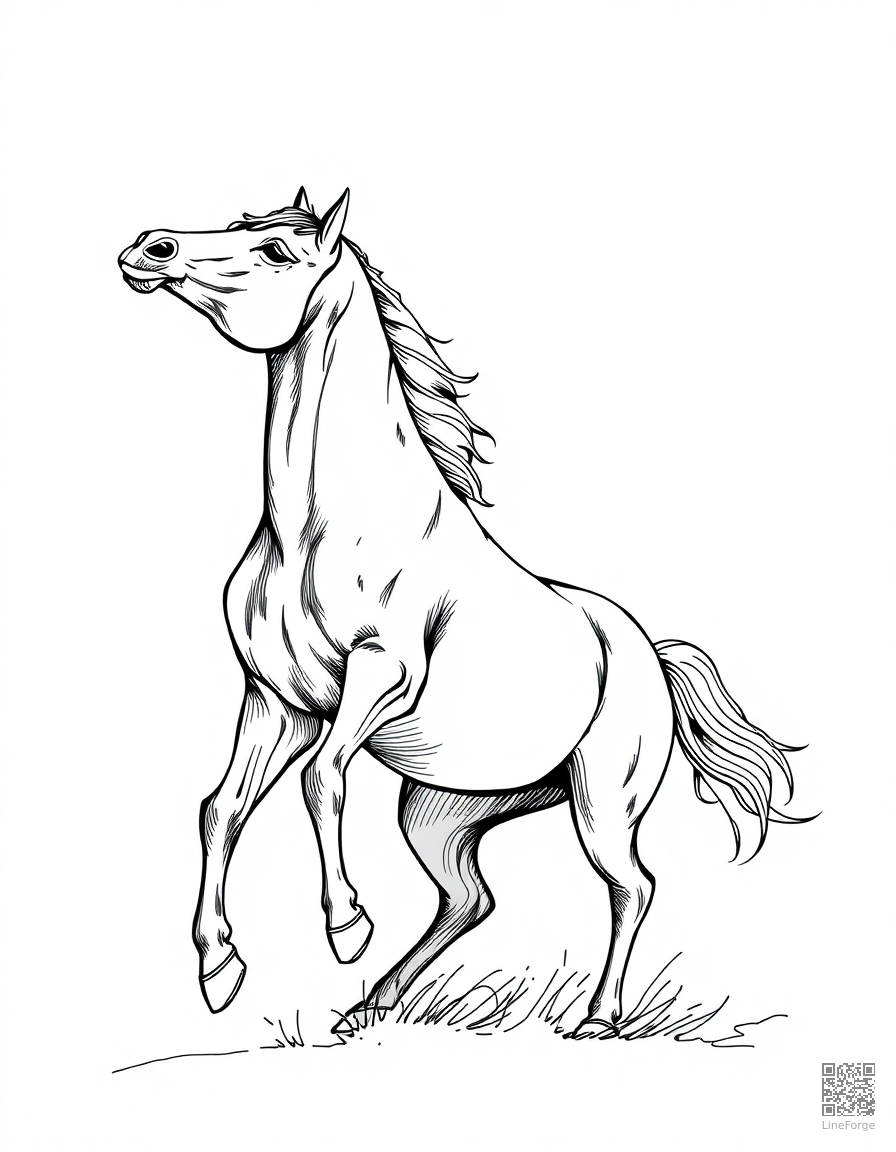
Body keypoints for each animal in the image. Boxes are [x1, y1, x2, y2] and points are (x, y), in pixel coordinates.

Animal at [118, 186, 808, 1038]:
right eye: (246, 224)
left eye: (279, 250)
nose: (150, 249)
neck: (317, 531)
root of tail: (652, 653)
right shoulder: (279, 701)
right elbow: (220, 809)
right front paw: (220, 969)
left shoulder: (379, 677)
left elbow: (321, 780)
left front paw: (345, 926)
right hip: (441, 810)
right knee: (469, 899)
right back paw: (368, 1009)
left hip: (601, 800)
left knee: (632, 885)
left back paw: (595, 1019)